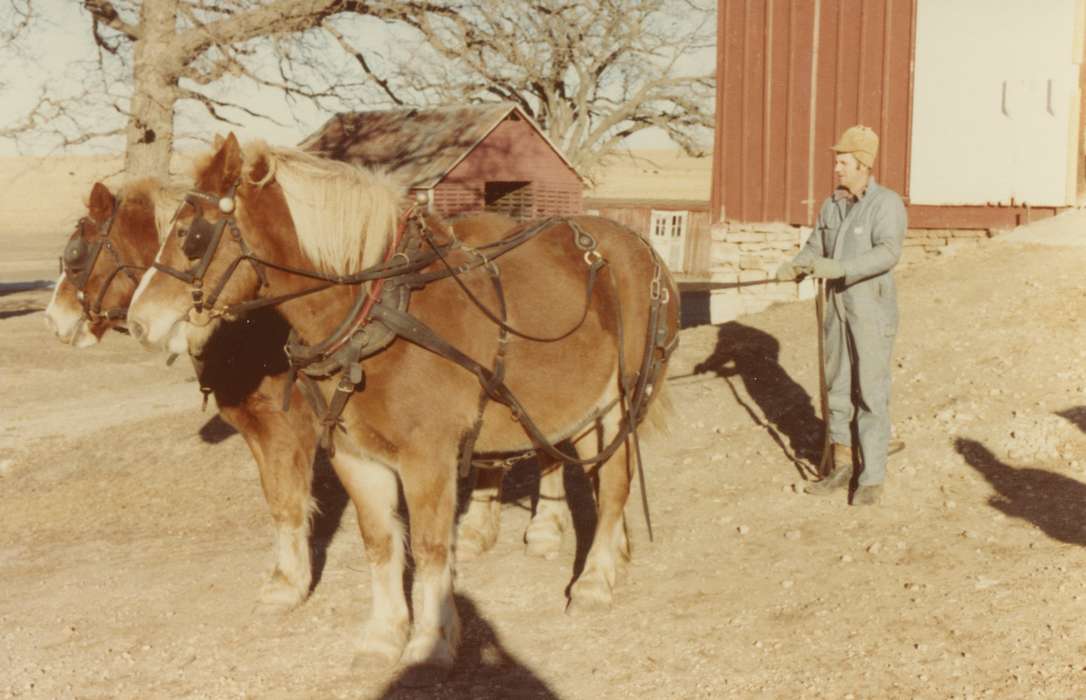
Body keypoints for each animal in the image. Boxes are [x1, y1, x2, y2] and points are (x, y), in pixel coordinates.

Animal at [129, 135, 677, 677]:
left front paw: (432, 640)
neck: (378, 315)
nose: (138, 321)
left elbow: (432, 548)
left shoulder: (427, 460)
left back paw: (595, 580)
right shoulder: (356, 458)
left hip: (621, 403)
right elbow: (381, 543)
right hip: (581, 409)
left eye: (190, 233)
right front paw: (383, 636)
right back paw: (614, 552)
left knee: (615, 485)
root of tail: (644, 251)